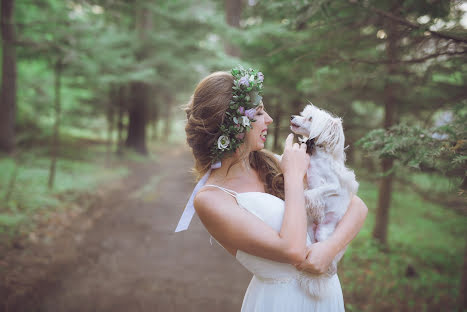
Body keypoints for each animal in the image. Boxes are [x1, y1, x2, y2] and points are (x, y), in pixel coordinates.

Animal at [290, 103, 360, 298]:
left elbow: (313, 193)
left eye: (310, 118)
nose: (292, 117)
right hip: (310, 231)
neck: (316, 156)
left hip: (323, 234)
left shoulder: (333, 186)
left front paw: (314, 206)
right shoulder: (305, 176)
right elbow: (308, 189)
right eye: (303, 114)